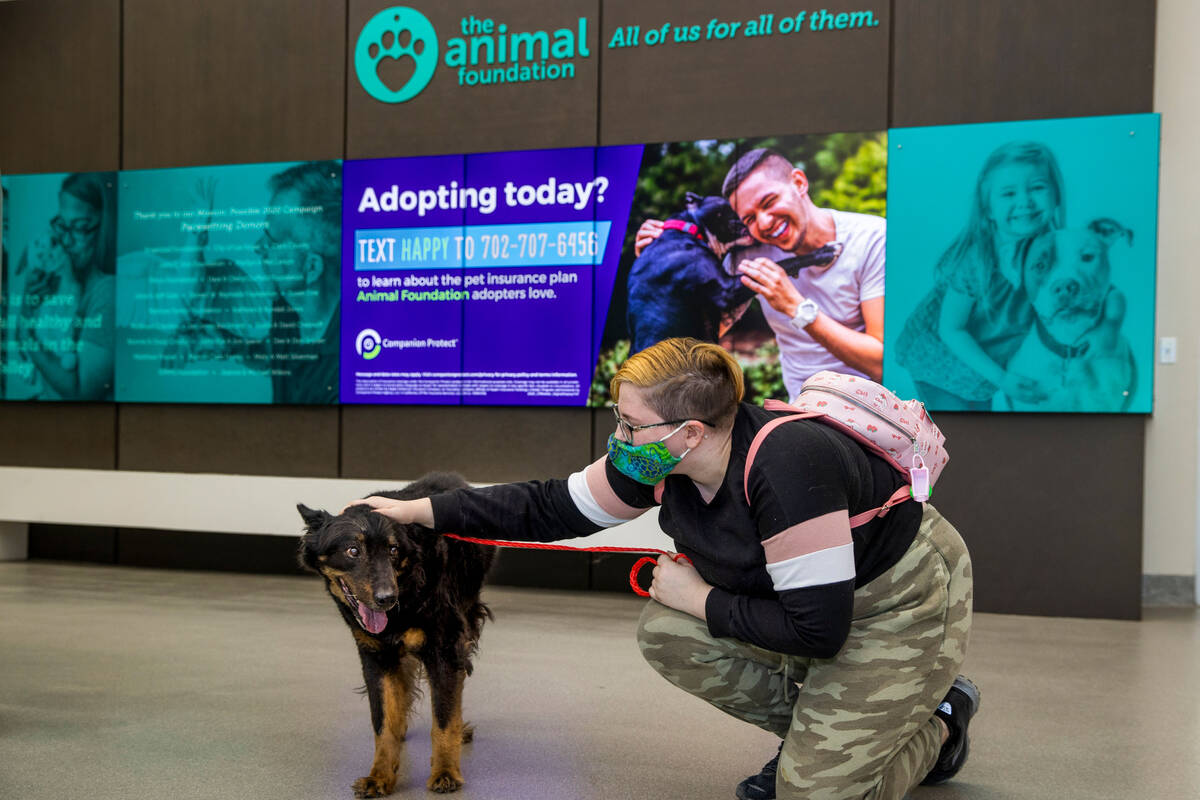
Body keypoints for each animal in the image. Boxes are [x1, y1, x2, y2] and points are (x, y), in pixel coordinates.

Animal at [298, 472, 496, 796]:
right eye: (353, 550)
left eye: (393, 551)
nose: (386, 599)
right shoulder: (376, 657)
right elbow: (384, 722)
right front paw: (379, 776)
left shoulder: (445, 649)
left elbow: (444, 717)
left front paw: (445, 772)